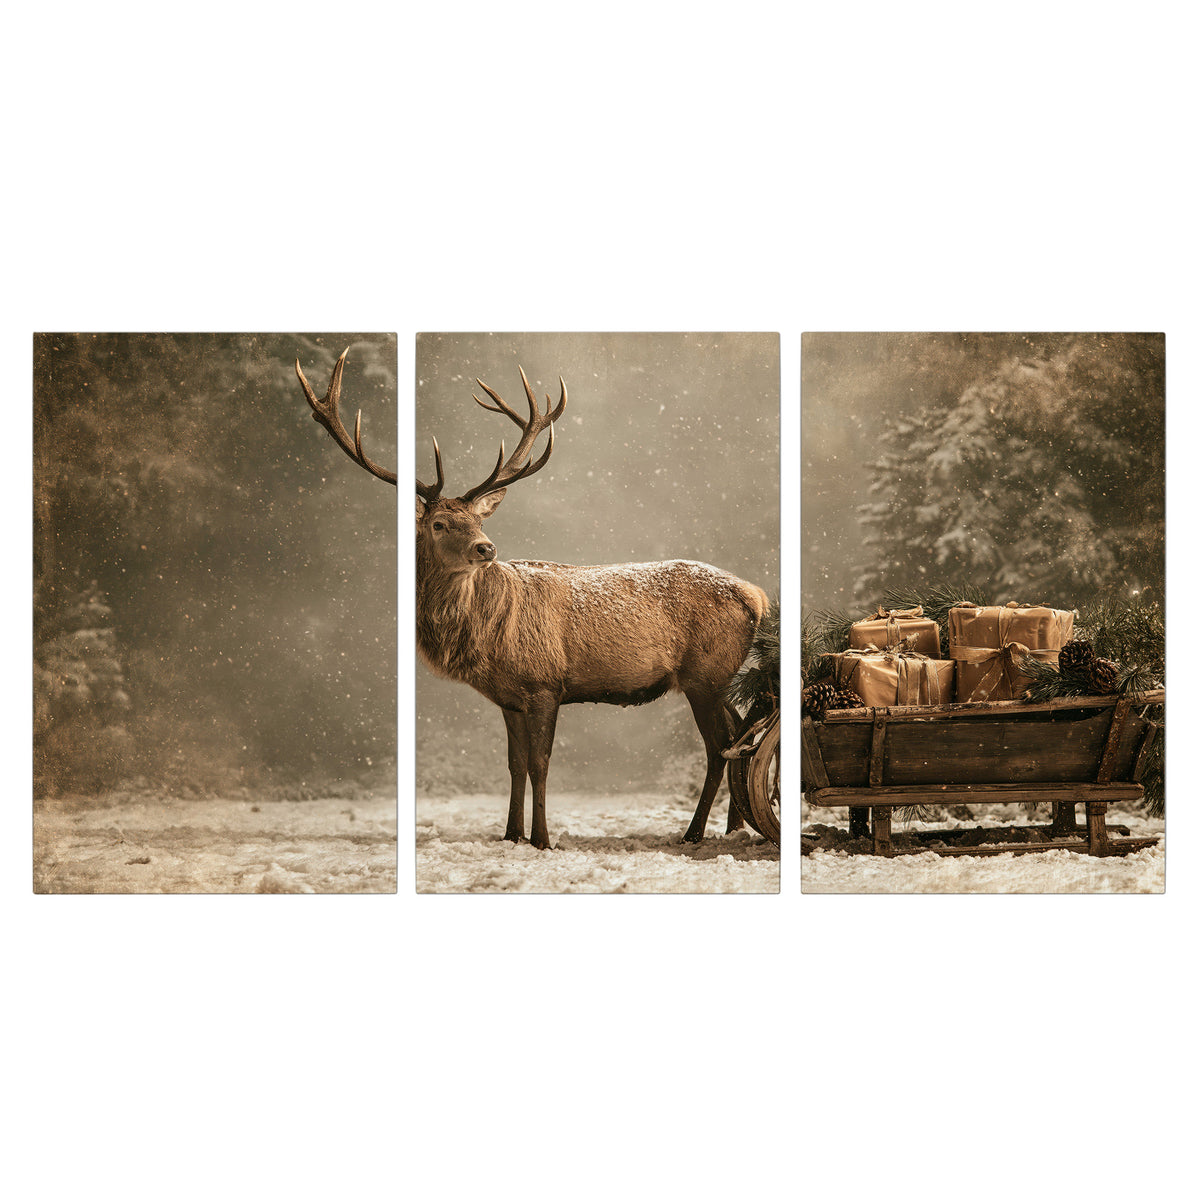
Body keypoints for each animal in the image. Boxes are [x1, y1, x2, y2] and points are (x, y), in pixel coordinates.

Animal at [296, 350, 770, 850]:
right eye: (439, 524)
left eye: (477, 520)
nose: (486, 548)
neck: (485, 641)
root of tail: (756, 595)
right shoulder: (509, 698)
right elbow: (515, 765)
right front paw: (510, 835)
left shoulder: (545, 684)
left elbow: (541, 764)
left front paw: (542, 839)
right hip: (717, 677)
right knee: (739, 732)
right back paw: (734, 827)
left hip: (705, 673)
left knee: (719, 745)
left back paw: (695, 832)